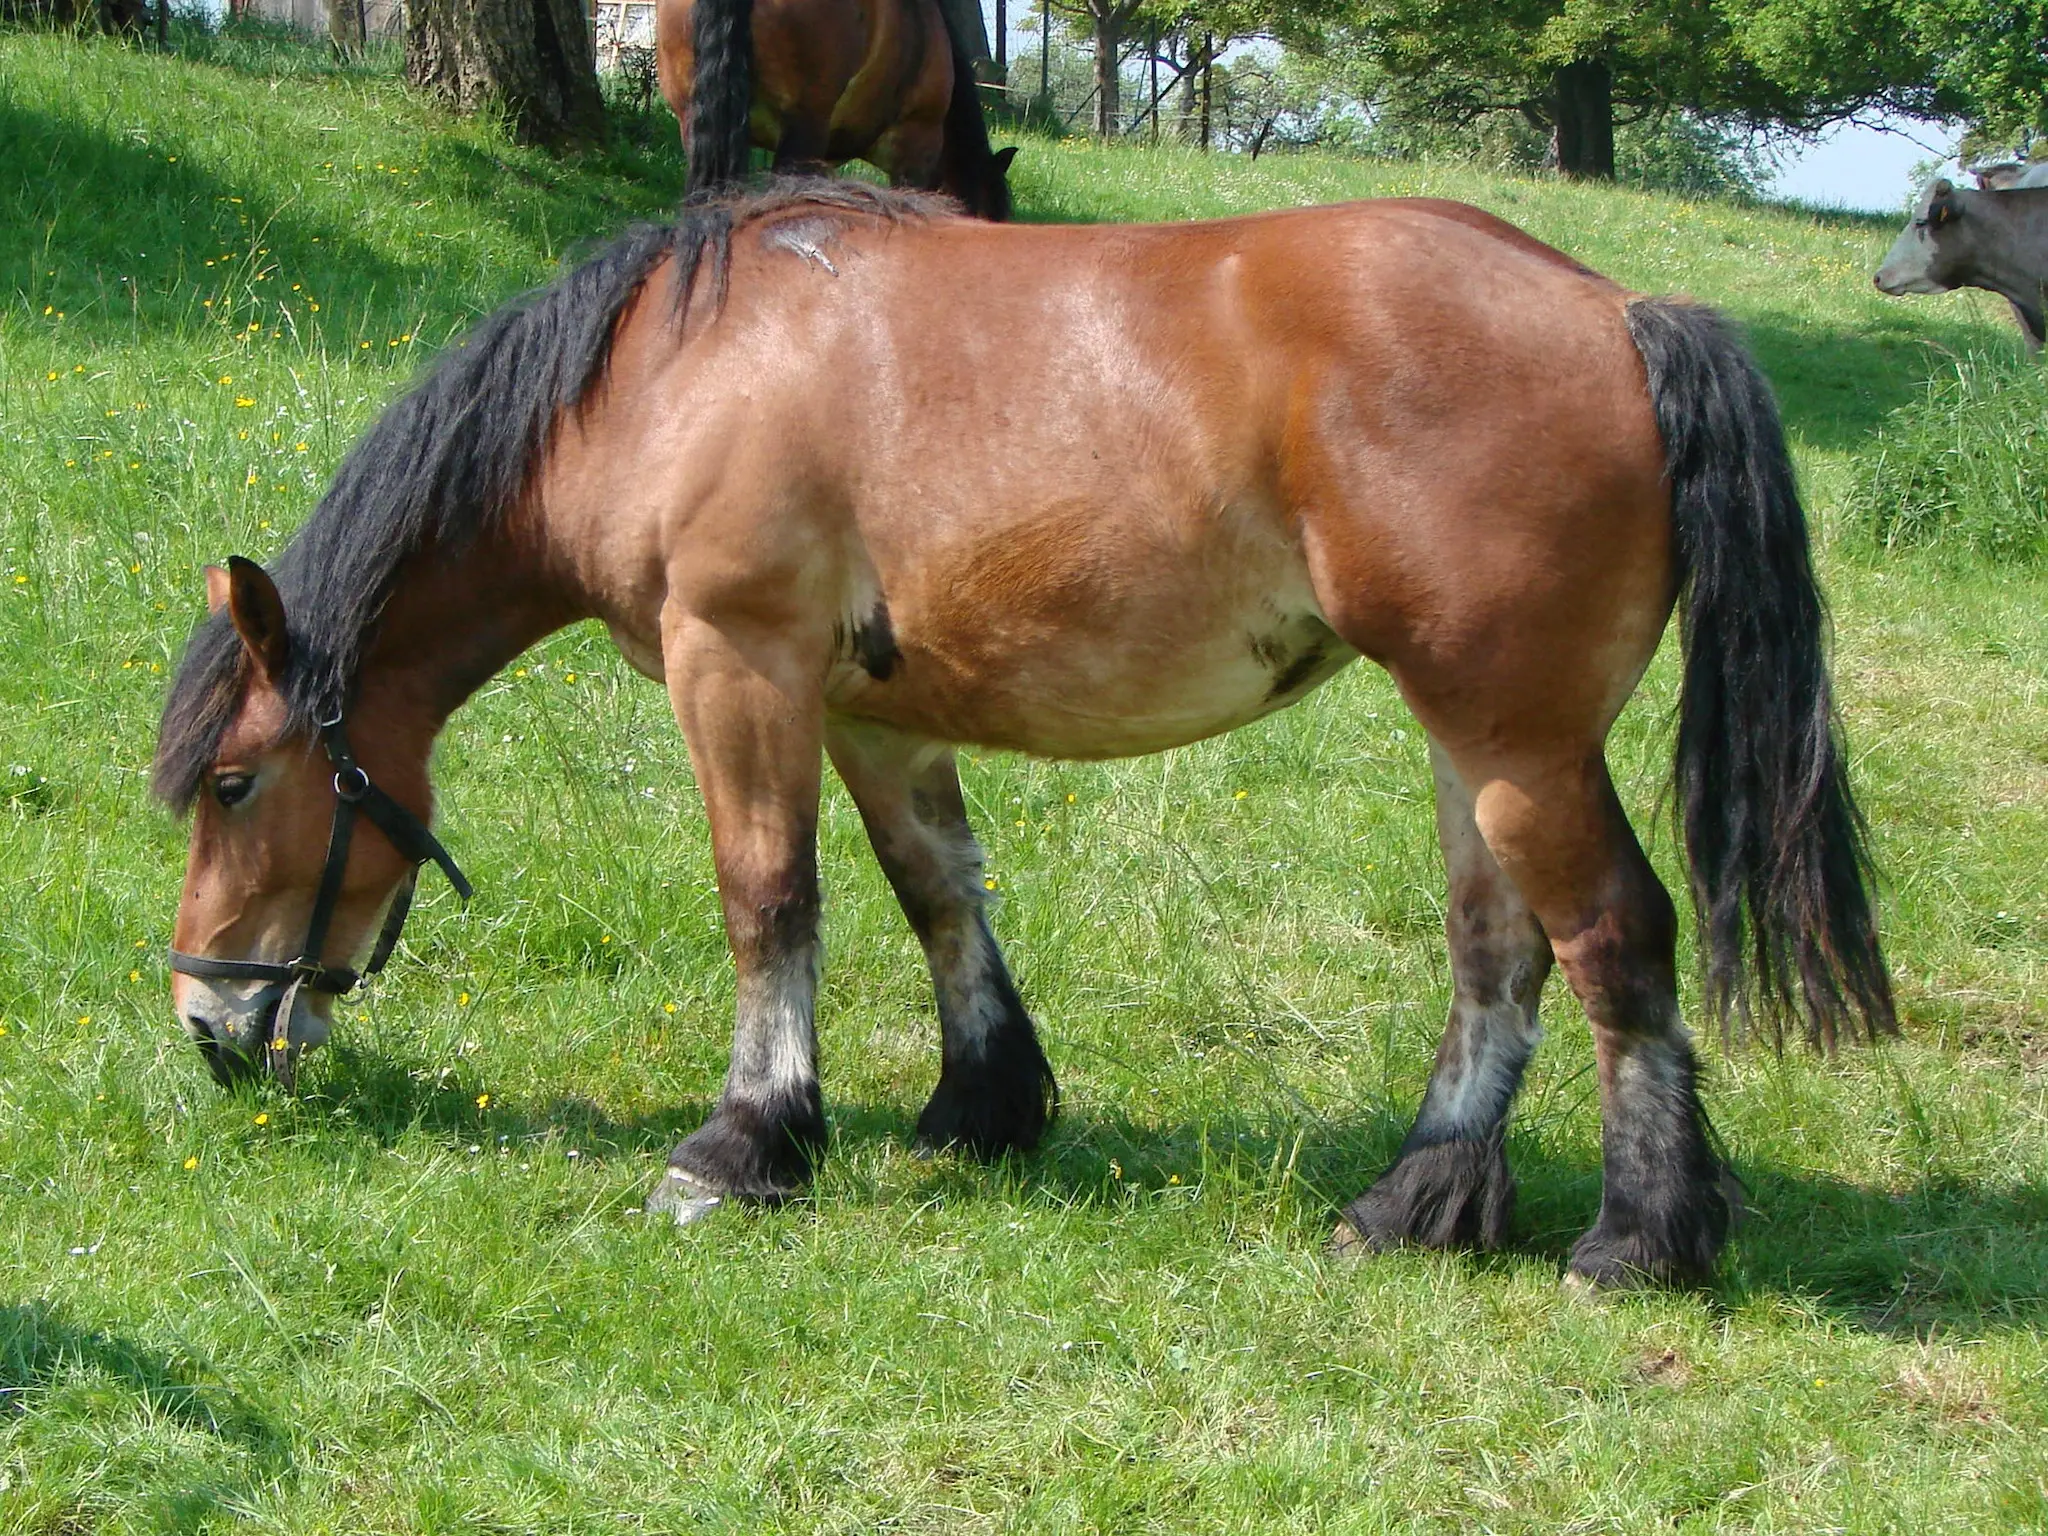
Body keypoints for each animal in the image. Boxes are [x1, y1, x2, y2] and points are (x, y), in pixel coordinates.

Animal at [151, 177, 1892, 1286]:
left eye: (234, 783)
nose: (209, 1023)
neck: (668, 372)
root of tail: (1620, 307)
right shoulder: (866, 713)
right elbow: (937, 896)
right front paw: (979, 1111)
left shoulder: (741, 671)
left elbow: (768, 902)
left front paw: (742, 1148)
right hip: (1473, 741)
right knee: (1498, 957)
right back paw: (1415, 1201)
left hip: (1516, 737)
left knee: (1614, 939)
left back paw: (1638, 1239)